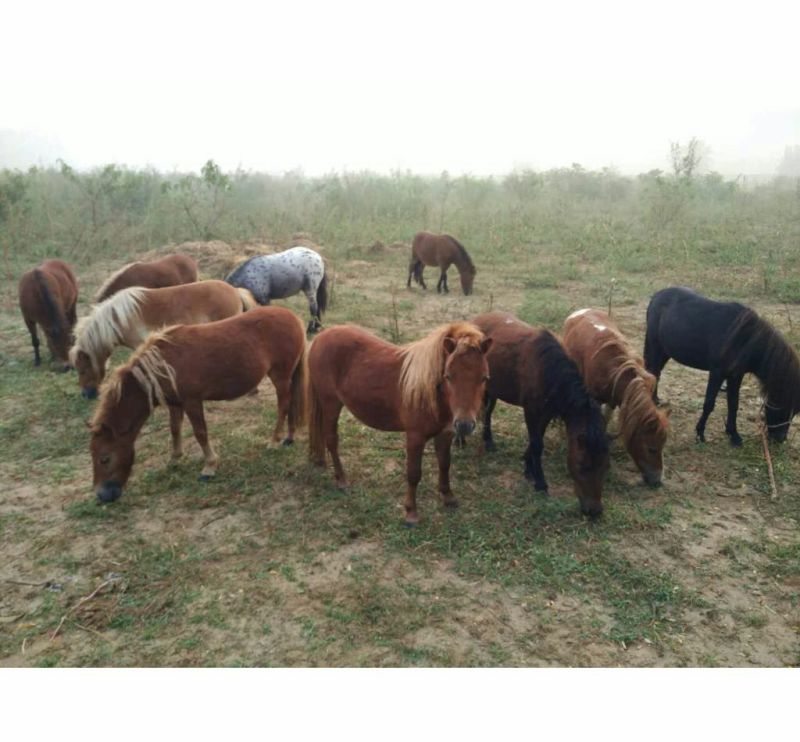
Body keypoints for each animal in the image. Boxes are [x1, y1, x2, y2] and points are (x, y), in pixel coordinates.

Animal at [90, 306, 307, 503]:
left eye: (104, 458)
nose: (102, 496)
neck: (164, 365)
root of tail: (292, 317)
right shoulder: (175, 403)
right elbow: (174, 430)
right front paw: (174, 459)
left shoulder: (191, 401)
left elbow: (200, 433)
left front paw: (209, 466)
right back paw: (289, 437)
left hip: (280, 375)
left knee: (283, 406)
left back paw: (274, 440)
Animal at [307, 322, 492, 526]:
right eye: (449, 376)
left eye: (484, 378)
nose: (465, 425)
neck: (430, 392)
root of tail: (322, 336)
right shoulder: (415, 437)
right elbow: (413, 473)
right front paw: (411, 512)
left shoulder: (445, 434)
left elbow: (445, 464)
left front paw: (448, 497)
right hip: (331, 404)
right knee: (331, 440)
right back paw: (341, 480)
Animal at [472, 312, 609, 518]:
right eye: (583, 465)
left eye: (604, 466)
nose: (594, 511)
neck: (546, 369)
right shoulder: (531, 410)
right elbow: (537, 443)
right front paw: (540, 482)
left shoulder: (547, 412)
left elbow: (537, 440)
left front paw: (528, 467)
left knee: (488, 413)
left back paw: (488, 441)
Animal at [562, 308, 669, 486]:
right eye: (651, 448)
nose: (657, 481)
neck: (613, 368)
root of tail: (580, 311)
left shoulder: (613, 400)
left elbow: (605, 420)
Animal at [644, 286, 800, 445]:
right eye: (783, 404)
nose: (780, 439)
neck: (744, 339)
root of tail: (657, 295)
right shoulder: (717, 373)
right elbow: (709, 404)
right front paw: (700, 433)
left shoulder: (736, 375)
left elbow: (733, 404)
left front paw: (734, 435)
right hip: (655, 346)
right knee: (653, 371)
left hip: (665, 351)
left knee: (655, 373)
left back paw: (656, 400)